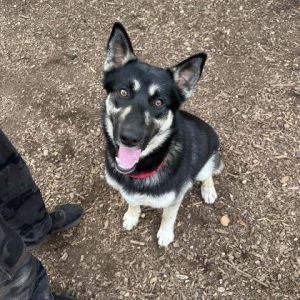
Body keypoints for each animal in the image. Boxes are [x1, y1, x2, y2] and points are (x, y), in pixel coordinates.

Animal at [102, 23, 224, 247]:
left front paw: (166, 233)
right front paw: (132, 216)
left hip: (205, 162)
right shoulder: (128, 192)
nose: (129, 137)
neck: (143, 167)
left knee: (209, 173)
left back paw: (208, 190)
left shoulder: (175, 197)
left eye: (159, 102)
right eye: (123, 92)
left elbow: (169, 215)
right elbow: (132, 202)